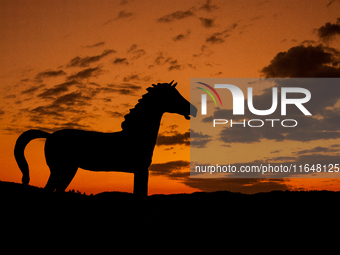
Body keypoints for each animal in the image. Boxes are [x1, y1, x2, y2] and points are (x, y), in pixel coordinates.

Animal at [15, 80, 197, 196]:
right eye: (173, 95)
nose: (193, 109)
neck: (136, 136)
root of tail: (50, 135)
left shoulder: (138, 171)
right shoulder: (141, 170)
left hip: (67, 171)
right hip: (60, 170)